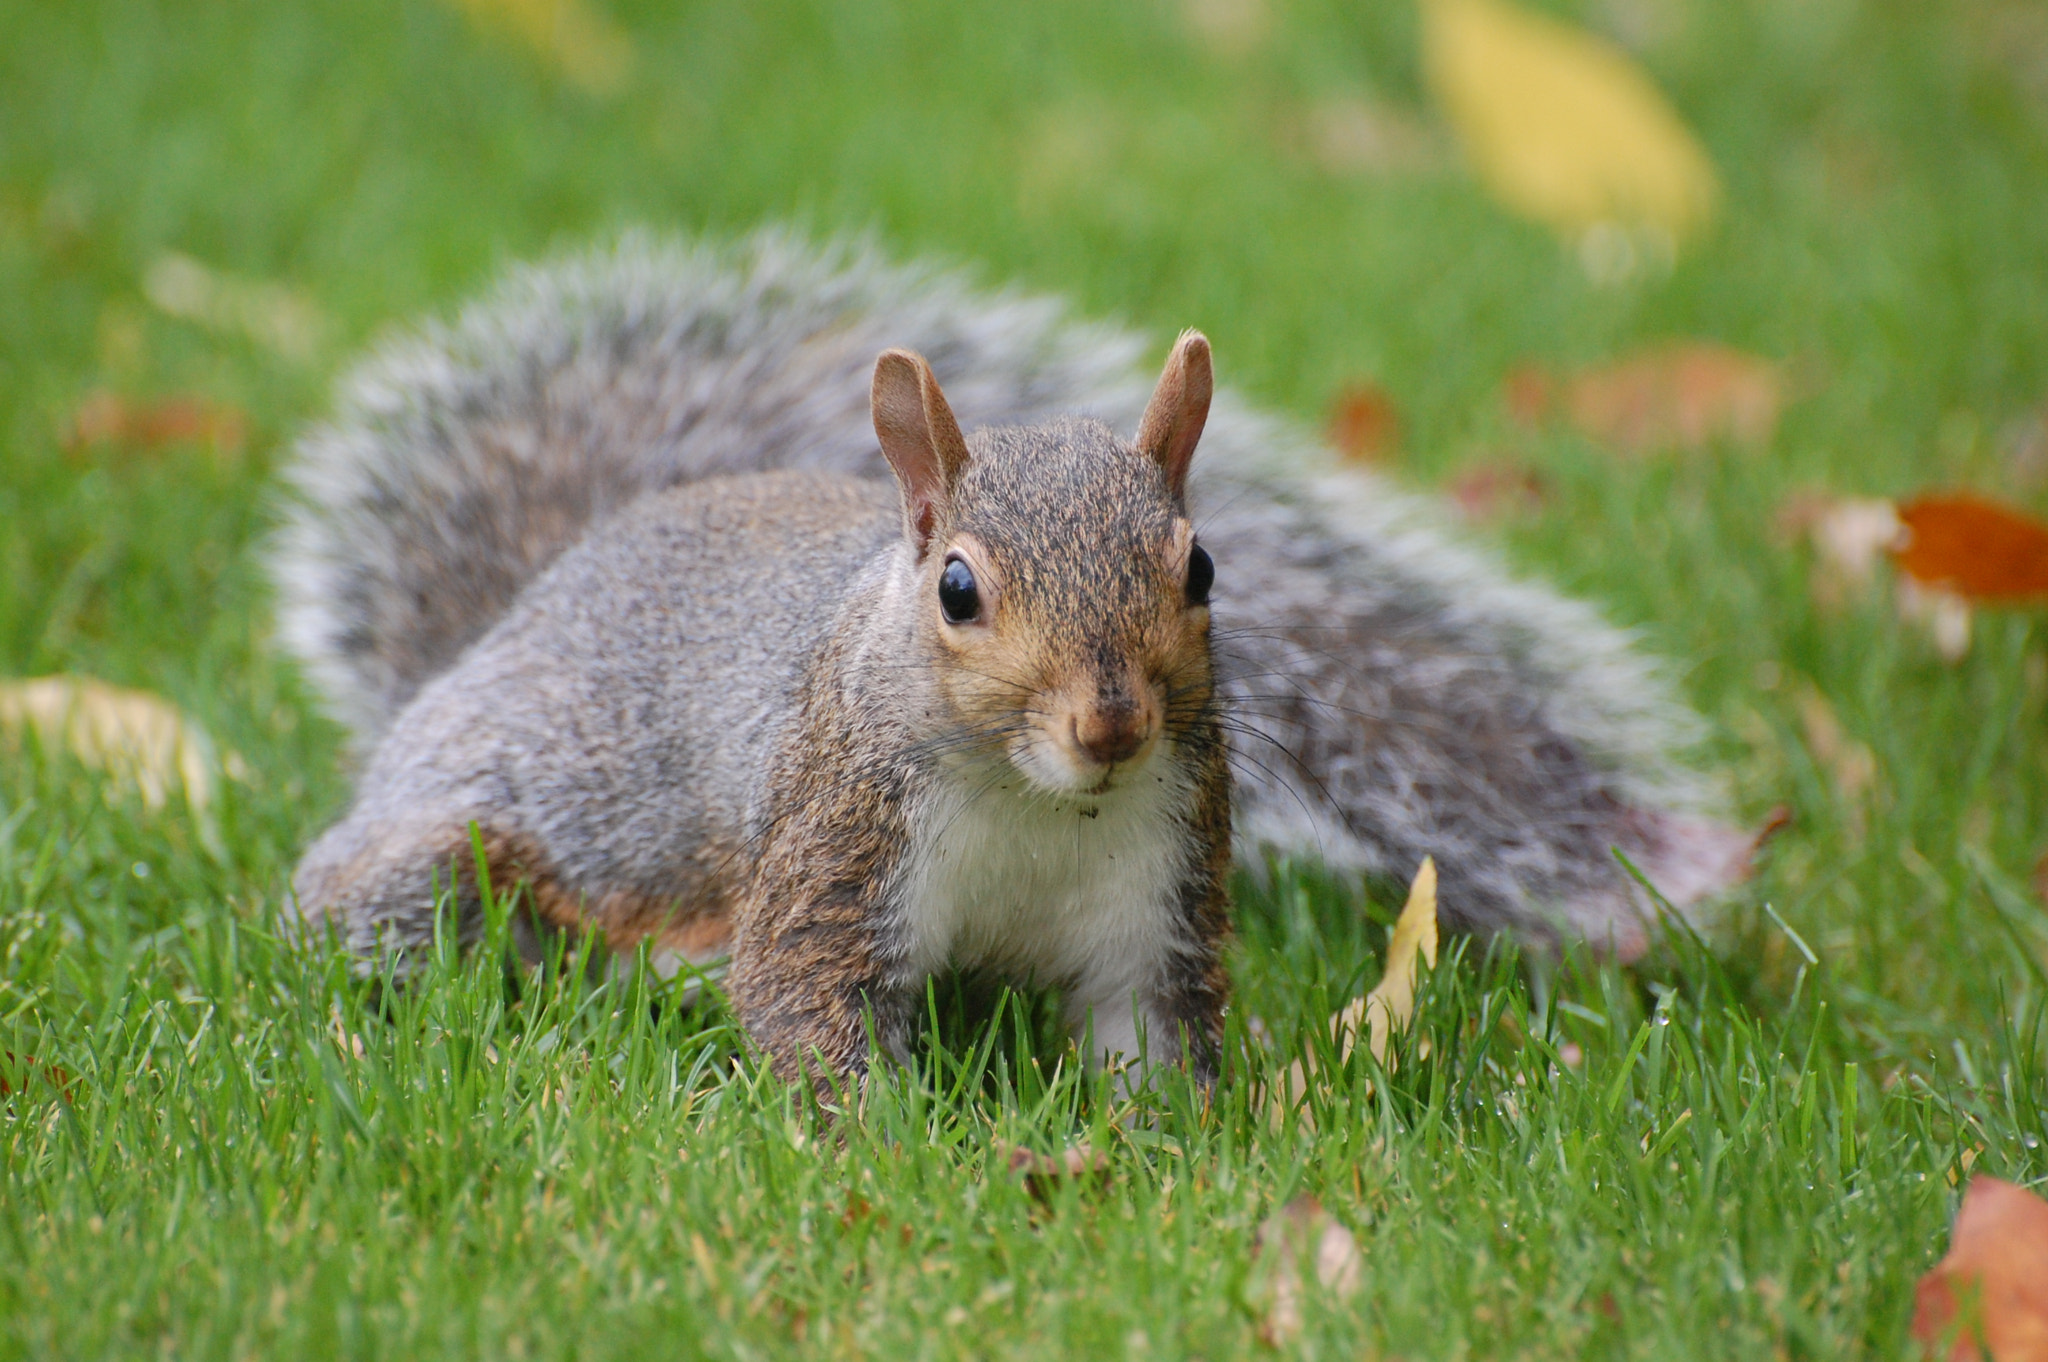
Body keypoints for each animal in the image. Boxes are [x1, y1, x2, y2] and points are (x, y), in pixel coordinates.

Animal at [290, 334, 1234, 1088]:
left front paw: (1170, 1143)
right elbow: (804, 994)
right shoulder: (838, 838)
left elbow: (1148, 1033)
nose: (1111, 728)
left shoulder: (1158, 891)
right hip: (456, 835)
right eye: (957, 591)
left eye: (1202, 569)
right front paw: (886, 1146)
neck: (1033, 799)